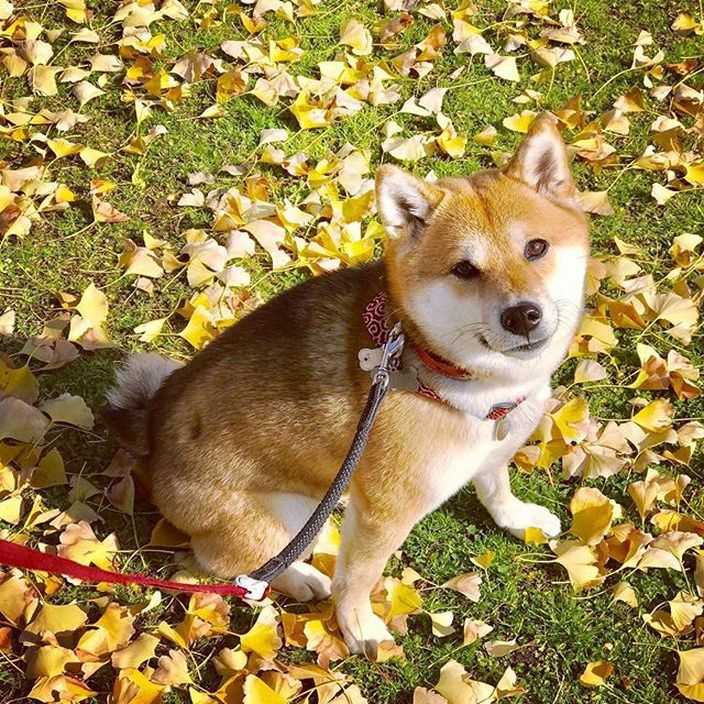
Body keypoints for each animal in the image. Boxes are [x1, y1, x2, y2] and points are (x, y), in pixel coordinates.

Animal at [104, 114, 588, 656]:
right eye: (464, 269)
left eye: (536, 248)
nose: (522, 314)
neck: (447, 375)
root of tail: (150, 432)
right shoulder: (384, 516)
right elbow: (356, 578)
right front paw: (357, 624)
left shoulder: (492, 453)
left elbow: (496, 488)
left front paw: (518, 517)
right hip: (288, 515)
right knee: (229, 565)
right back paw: (299, 578)